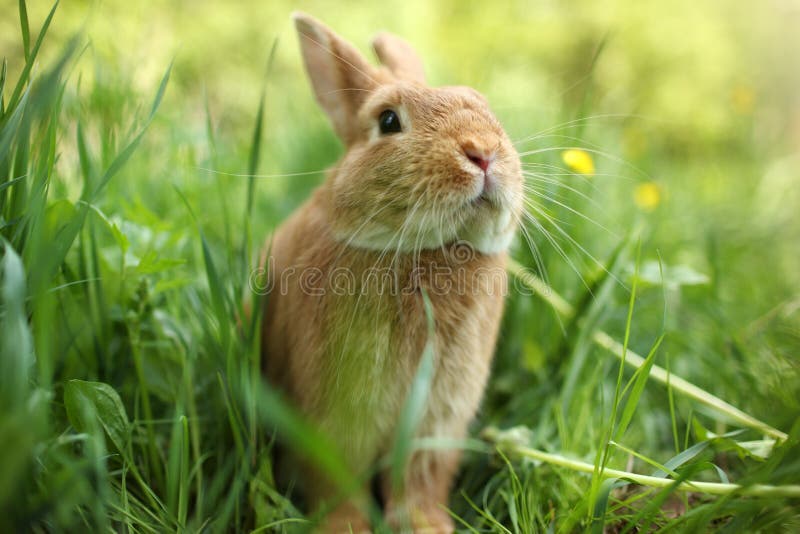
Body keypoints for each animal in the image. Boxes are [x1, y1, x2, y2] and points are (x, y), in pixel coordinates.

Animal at [262, 12, 524, 534]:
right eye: (387, 120)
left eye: (486, 108)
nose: (483, 153)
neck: (423, 251)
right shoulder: (333, 416)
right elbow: (336, 479)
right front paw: (344, 528)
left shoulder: (438, 420)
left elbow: (420, 481)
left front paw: (428, 526)